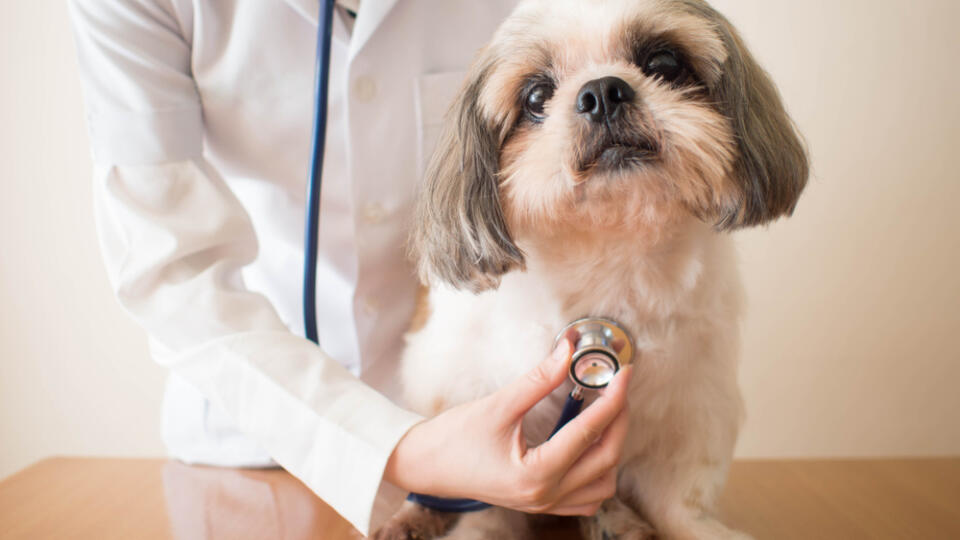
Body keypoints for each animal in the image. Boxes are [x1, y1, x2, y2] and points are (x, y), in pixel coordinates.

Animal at [378, 0, 808, 536]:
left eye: (664, 63)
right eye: (537, 96)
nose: (602, 91)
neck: (612, 253)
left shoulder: (694, 408)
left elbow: (678, 499)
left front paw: (692, 527)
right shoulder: (472, 397)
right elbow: (487, 502)